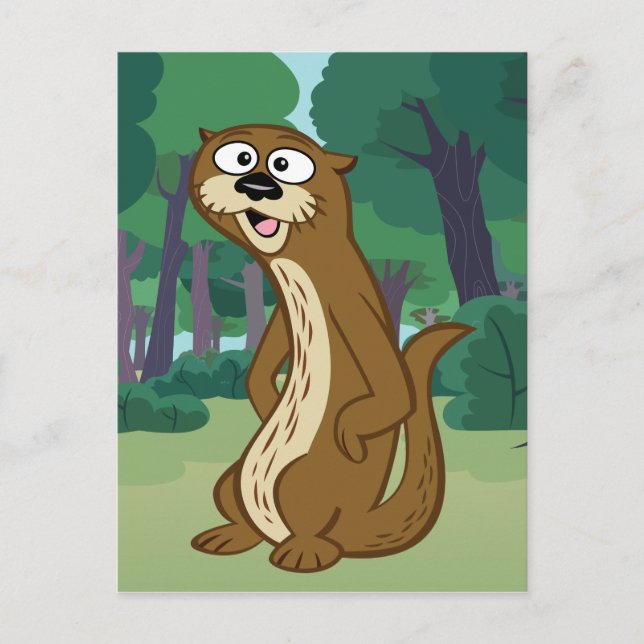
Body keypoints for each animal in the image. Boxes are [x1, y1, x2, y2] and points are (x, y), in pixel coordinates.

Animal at [188, 124, 472, 572]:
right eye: (240, 157)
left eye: (285, 165)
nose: (257, 186)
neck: (297, 265)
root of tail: (354, 524)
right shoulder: (282, 314)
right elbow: (259, 373)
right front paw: (267, 402)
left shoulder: (350, 302)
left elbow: (396, 389)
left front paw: (348, 432)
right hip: (234, 477)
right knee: (240, 507)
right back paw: (232, 535)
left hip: (304, 479)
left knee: (312, 527)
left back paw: (304, 552)